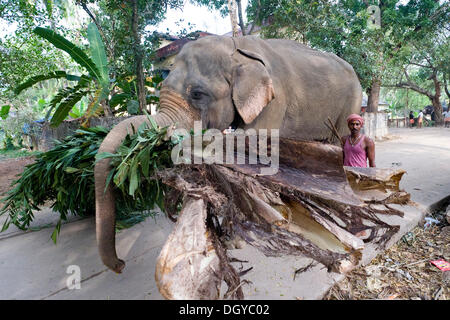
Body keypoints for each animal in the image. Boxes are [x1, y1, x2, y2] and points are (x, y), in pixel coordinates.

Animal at [94, 36, 362, 274]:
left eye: (197, 94)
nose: (120, 265)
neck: (235, 46)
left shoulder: (274, 99)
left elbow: (251, 150)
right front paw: (233, 239)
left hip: (352, 102)